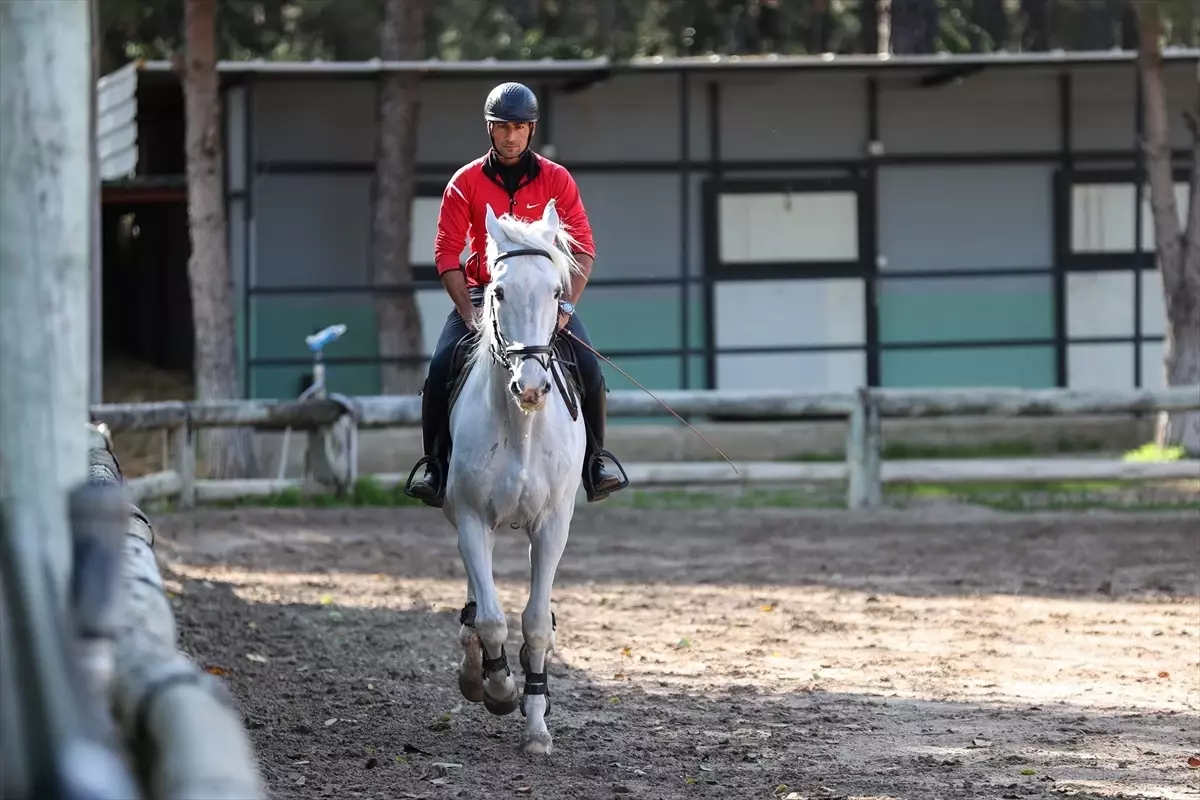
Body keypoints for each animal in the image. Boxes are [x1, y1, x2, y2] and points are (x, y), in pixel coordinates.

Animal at [444, 196, 588, 753]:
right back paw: (477, 671)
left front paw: (536, 725)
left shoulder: (552, 524)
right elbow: (490, 619)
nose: (530, 387)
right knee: (476, 604)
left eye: (556, 292)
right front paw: (500, 689)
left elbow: (536, 624)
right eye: (499, 291)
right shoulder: (470, 519)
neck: (521, 426)